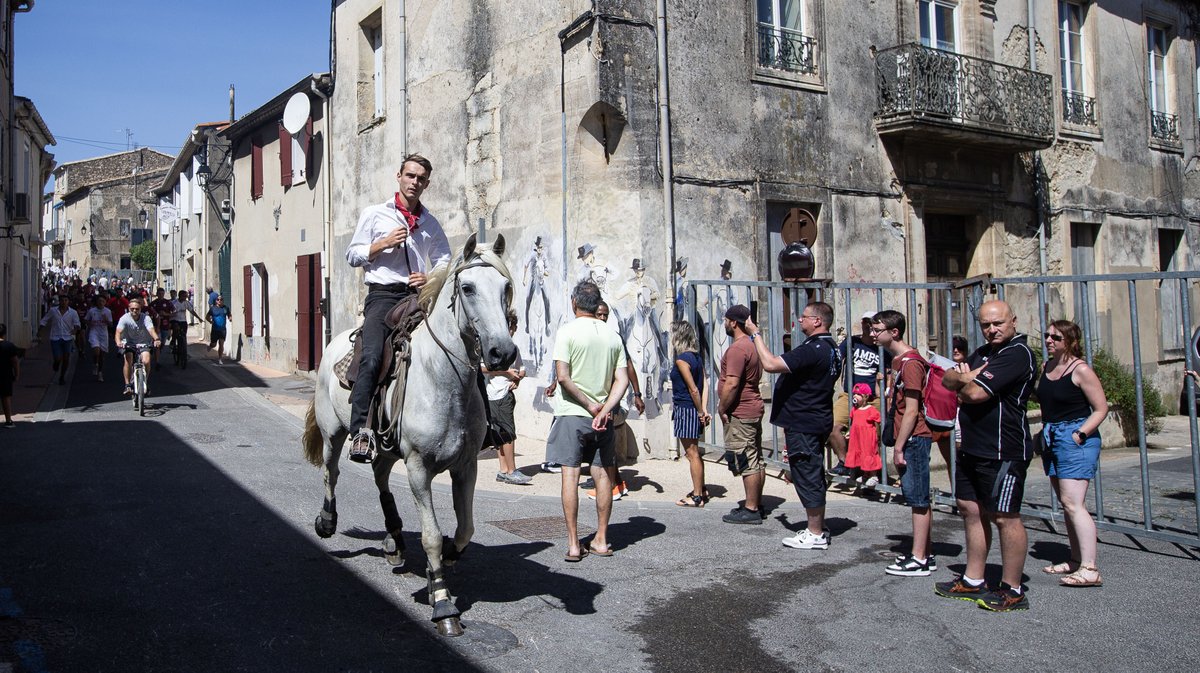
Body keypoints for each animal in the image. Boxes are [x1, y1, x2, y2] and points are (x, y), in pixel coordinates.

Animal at [300, 235, 516, 633]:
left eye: (505, 287)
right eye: (467, 287)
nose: (502, 353)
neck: (444, 379)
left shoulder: (466, 466)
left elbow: (465, 529)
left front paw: (447, 560)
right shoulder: (418, 468)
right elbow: (430, 536)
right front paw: (443, 602)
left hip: (384, 448)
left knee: (380, 478)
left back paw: (395, 540)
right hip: (333, 432)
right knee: (330, 472)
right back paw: (327, 521)